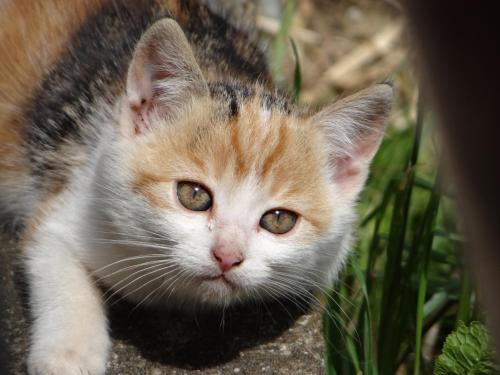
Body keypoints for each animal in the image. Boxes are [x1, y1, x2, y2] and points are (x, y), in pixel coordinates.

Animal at [0, 0, 390, 374]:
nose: (227, 256)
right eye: (194, 195)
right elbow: (56, 260)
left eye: (279, 220)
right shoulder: (75, 192)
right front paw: (68, 355)